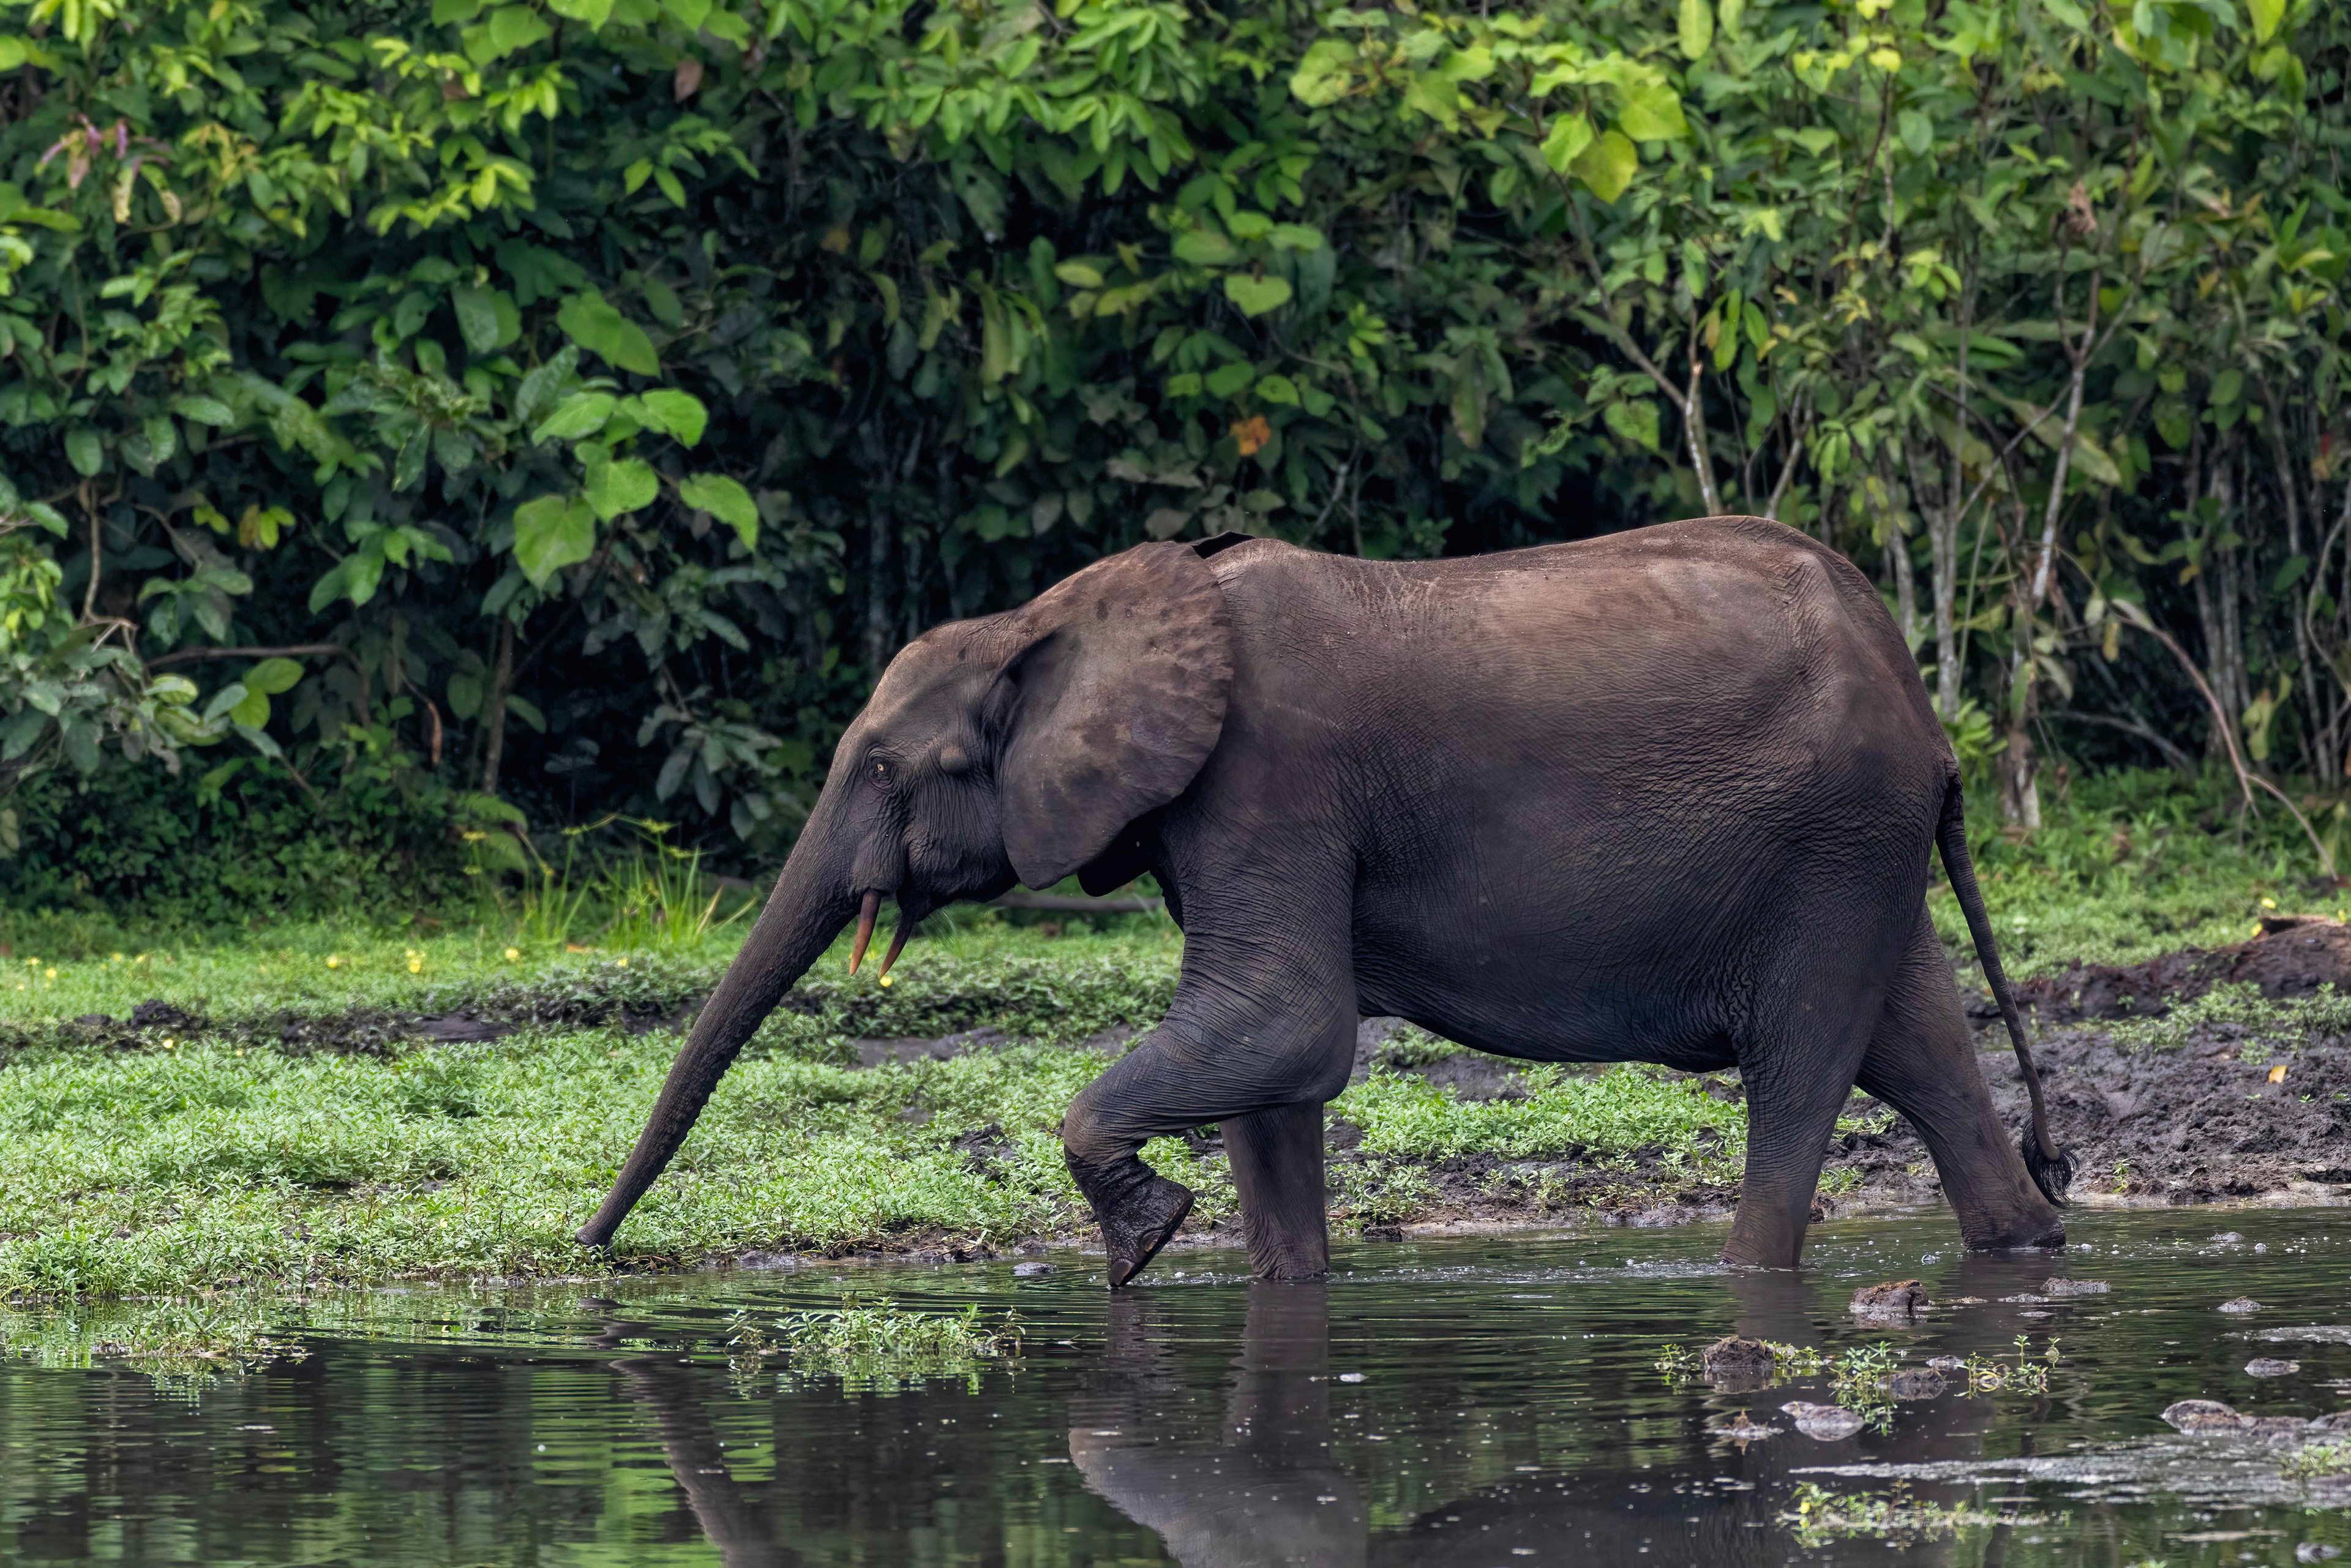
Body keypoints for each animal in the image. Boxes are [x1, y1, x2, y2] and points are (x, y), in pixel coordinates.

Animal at [575, 514, 2073, 1284]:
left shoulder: (1267, 778)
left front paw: (1142, 1241)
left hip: (1834, 836)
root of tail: (1918, 695)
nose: (590, 1253)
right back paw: (2027, 1243)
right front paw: (1266, 1277)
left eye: (889, 765)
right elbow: (1269, 1078)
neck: (1057, 616)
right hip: (1859, 843)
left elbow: (1288, 1021)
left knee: (1804, 1066)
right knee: (1917, 1046)